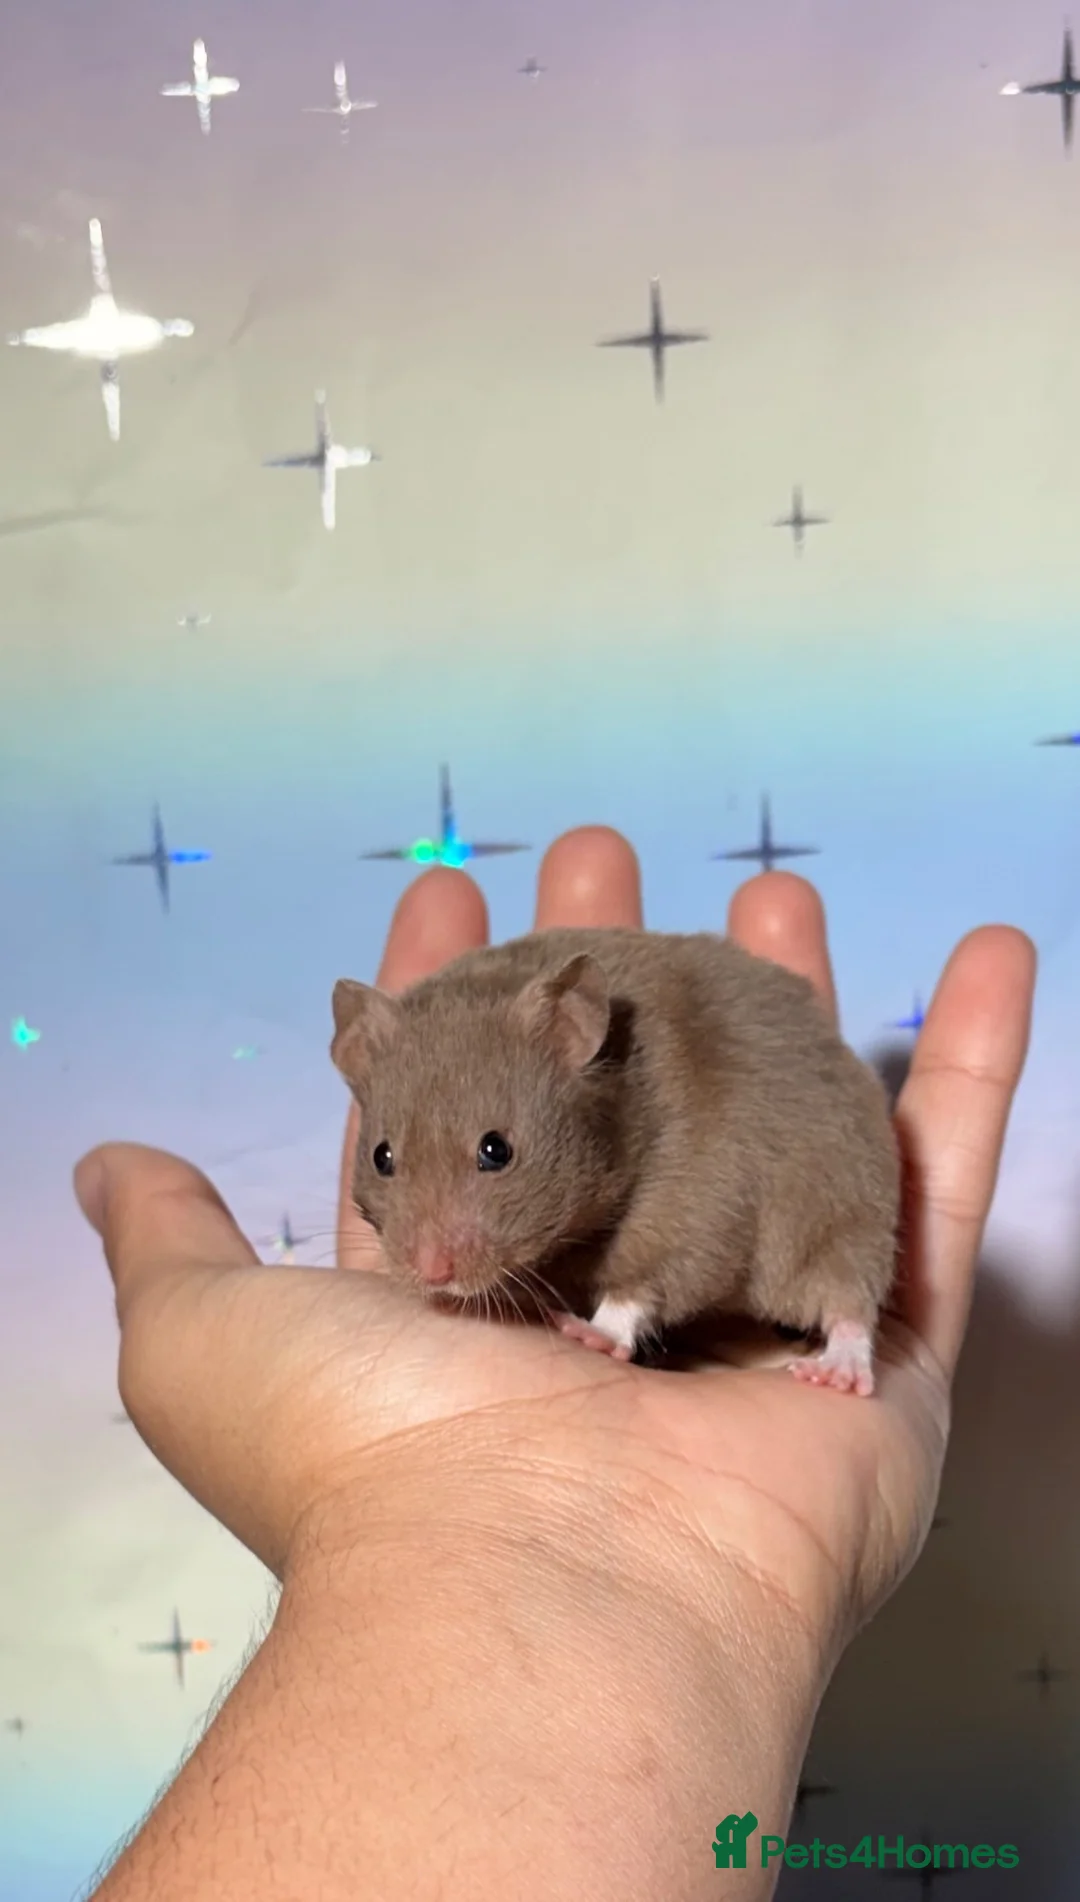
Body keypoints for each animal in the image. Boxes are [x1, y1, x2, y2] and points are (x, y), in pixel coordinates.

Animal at [330, 926, 901, 1397]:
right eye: (382, 1156)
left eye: (496, 1150)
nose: (432, 1277)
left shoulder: (696, 1200)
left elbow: (642, 1282)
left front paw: (587, 1333)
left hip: (847, 1211)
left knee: (850, 1301)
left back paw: (835, 1373)